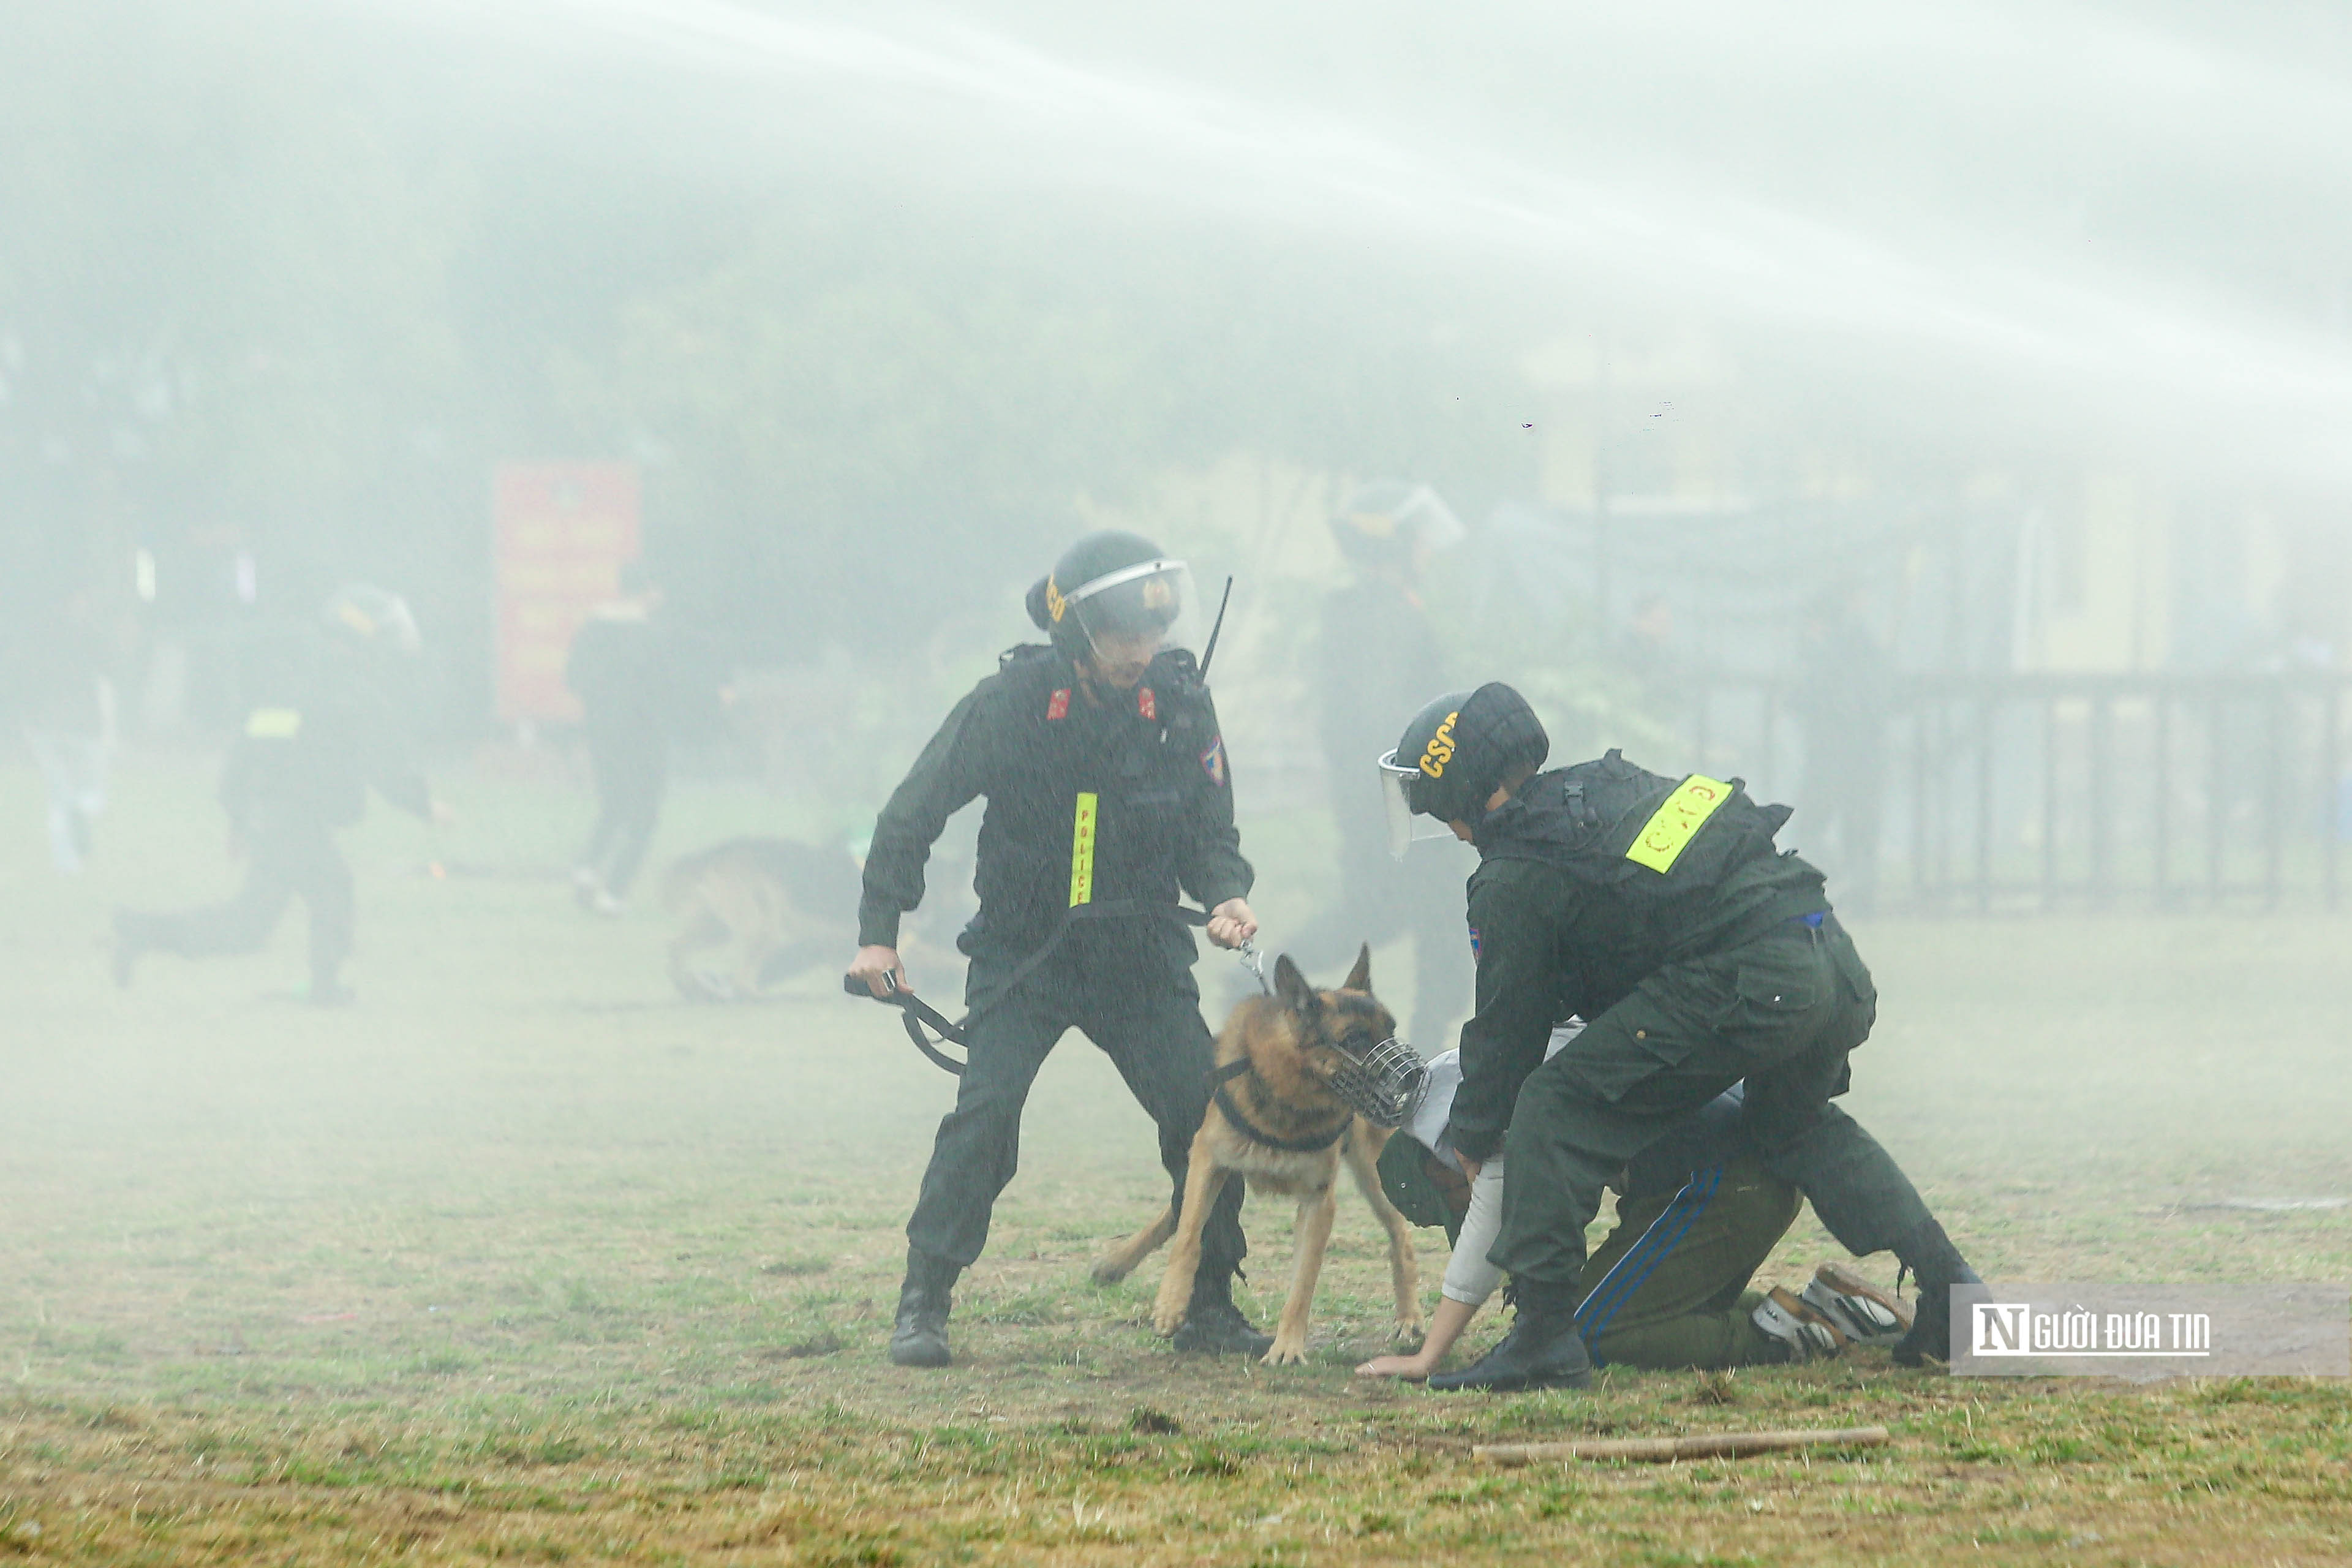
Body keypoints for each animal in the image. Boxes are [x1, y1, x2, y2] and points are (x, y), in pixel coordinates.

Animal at [1091, 944, 1420, 1363]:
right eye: (1355, 1039)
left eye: (1390, 1031)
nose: (1415, 1076)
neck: (1291, 1093)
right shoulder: (1209, 1160)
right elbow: (1189, 1236)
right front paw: (1169, 1304)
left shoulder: (1318, 1202)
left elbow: (1303, 1284)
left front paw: (1288, 1347)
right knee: (1176, 1210)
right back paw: (1118, 1263)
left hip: (1373, 1174)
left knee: (1400, 1234)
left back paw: (1409, 1319)